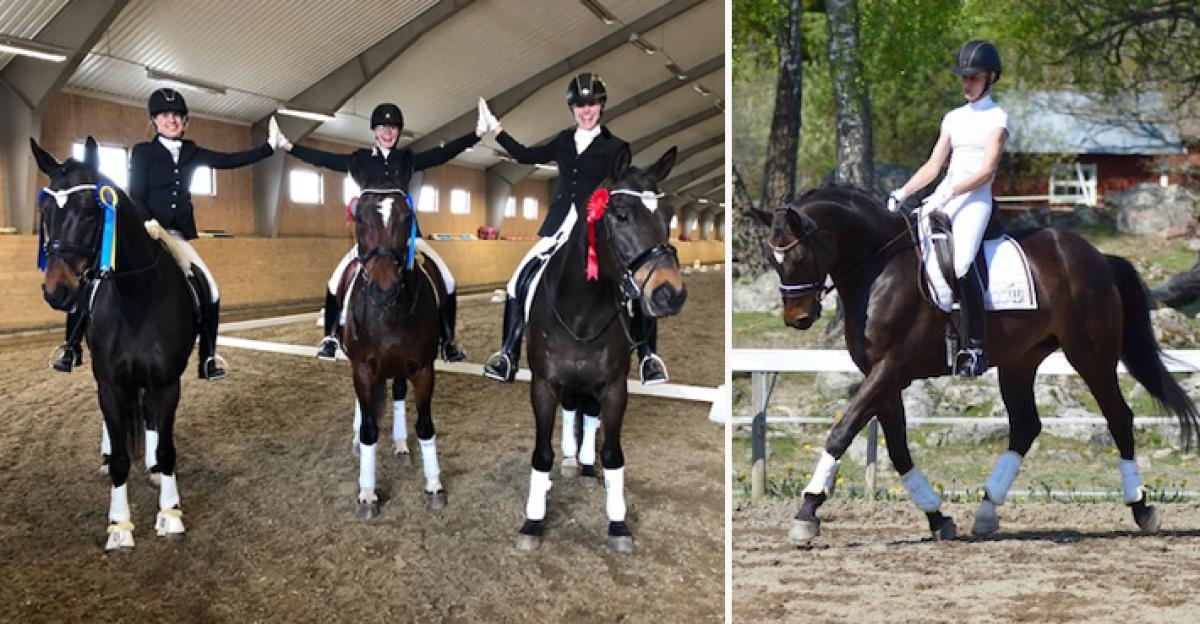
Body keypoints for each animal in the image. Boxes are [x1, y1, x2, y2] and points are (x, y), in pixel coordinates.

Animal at [32, 138, 195, 552]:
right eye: (45, 210)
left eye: (91, 211)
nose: (56, 293)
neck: (135, 296)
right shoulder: (109, 382)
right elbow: (121, 455)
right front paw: (119, 525)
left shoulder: (166, 381)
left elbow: (166, 446)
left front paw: (170, 512)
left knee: (149, 417)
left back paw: (152, 469)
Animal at [340, 160, 448, 516]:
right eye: (360, 217)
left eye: (407, 218)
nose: (384, 288)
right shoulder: (361, 368)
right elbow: (369, 427)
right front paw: (367, 494)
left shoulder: (423, 368)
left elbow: (425, 425)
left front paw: (434, 486)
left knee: (398, 394)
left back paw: (401, 445)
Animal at [513, 145, 686, 552]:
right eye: (621, 214)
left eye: (668, 217)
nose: (671, 293)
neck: (582, 312)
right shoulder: (543, 385)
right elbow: (541, 453)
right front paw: (533, 520)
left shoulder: (614, 387)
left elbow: (613, 453)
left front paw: (618, 522)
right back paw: (569, 461)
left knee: (587, 415)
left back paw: (585, 462)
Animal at [763, 183, 1195, 540]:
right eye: (773, 260)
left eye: (798, 256)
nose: (797, 318)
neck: (879, 268)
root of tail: (1098, 257)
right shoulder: (881, 375)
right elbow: (898, 449)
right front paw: (937, 517)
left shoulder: (891, 368)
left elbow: (842, 431)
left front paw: (806, 512)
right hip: (1019, 361)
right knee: (1026, 426)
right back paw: (987, 512)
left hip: (1091, 355)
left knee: (1119, 417)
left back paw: (1142, 509)